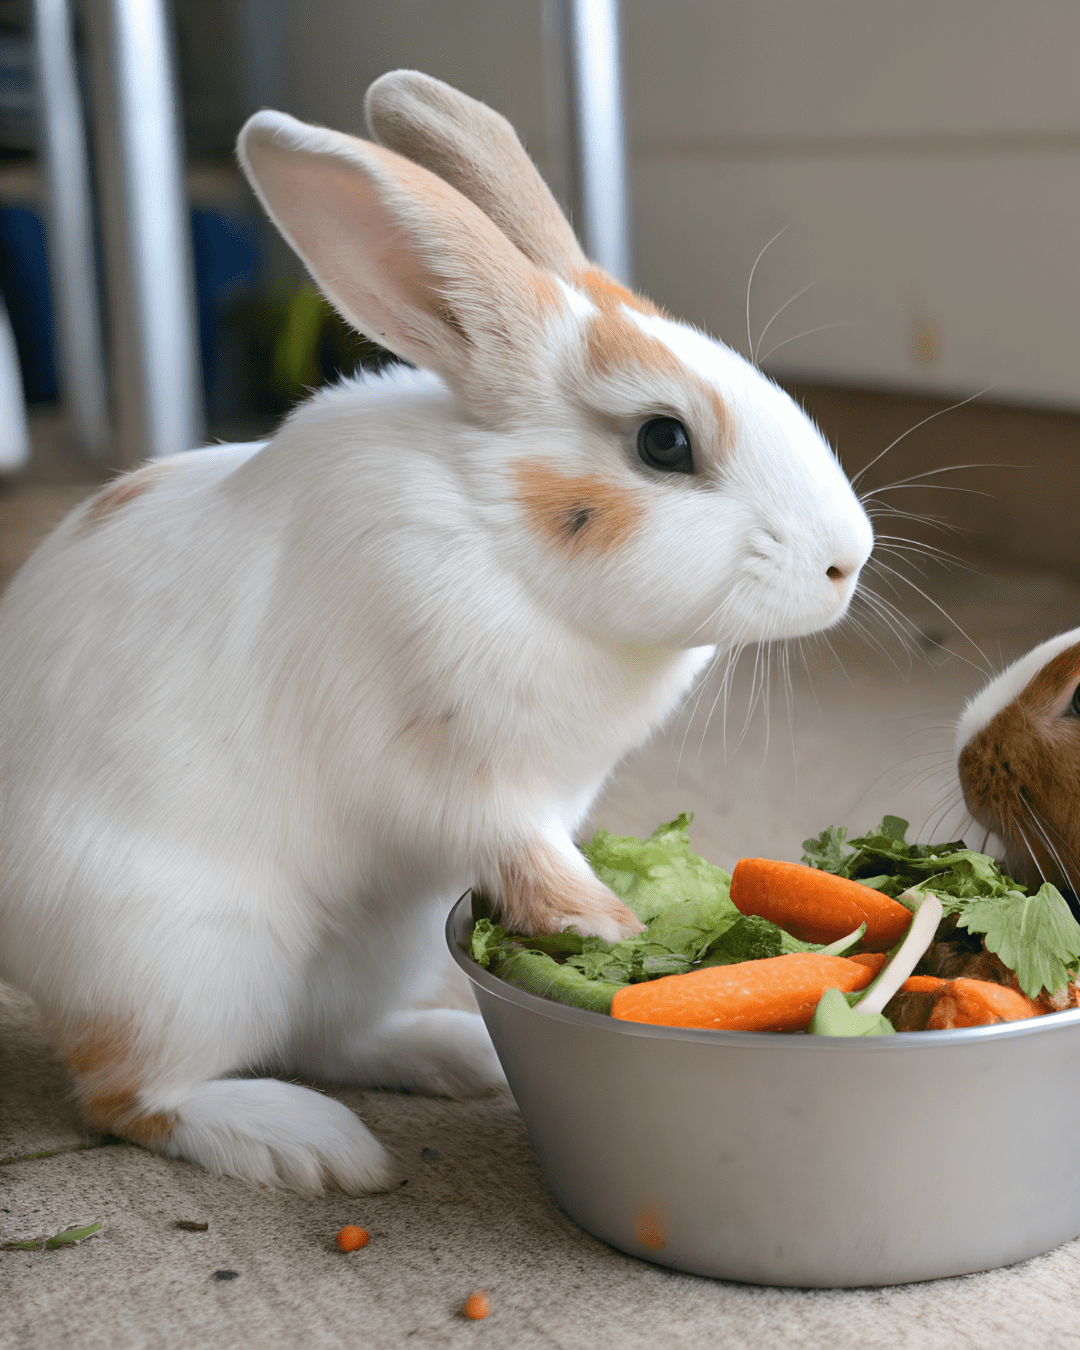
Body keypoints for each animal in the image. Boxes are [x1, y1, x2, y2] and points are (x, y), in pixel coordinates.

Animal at [0, 70, 873, 1194]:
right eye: (664, 442)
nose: (848, 561)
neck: (499, 536)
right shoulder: (453, 773)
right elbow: (515, 843)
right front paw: (607, 920)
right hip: (183, 957)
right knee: (134, 1094)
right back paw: (316, 1147)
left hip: (377, 943)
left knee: (325, 1036)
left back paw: (454, 1054)